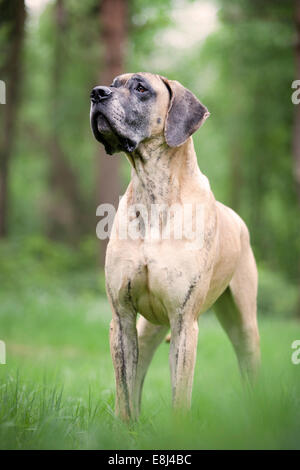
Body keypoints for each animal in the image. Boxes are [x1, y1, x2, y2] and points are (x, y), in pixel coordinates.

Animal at [89, 72, 260, 422]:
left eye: (141, 88)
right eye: (113, 83)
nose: (97, 93)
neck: (153, 193)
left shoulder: (184, 323)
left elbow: (180, 394)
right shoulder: (122, 318)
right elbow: (124, 389)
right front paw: (124, 427)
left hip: (244, 325)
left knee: (249, 365)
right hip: (147, 329)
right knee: (137, 376)